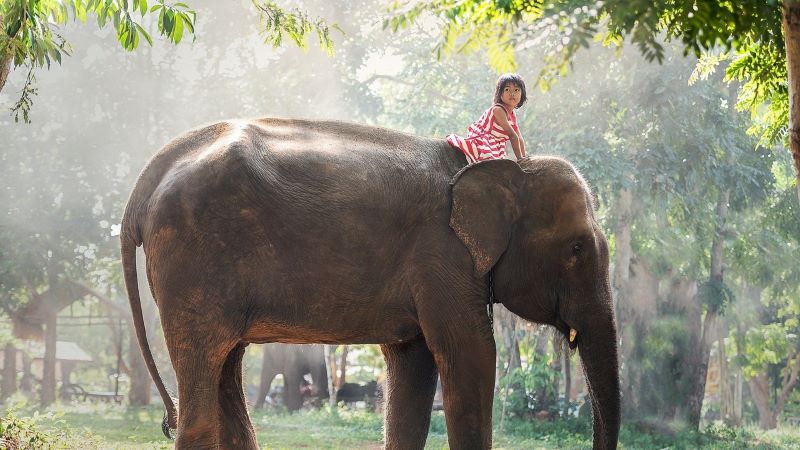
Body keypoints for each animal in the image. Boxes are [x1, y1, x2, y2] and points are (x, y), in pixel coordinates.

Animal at [122, 118, 620, 450]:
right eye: (577, 249)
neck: (502, 169)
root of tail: (148, 177)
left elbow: (414, 363)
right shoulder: (442, 256)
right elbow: (470, 353)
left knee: (226, 366)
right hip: (194, 261)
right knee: (204, 371)